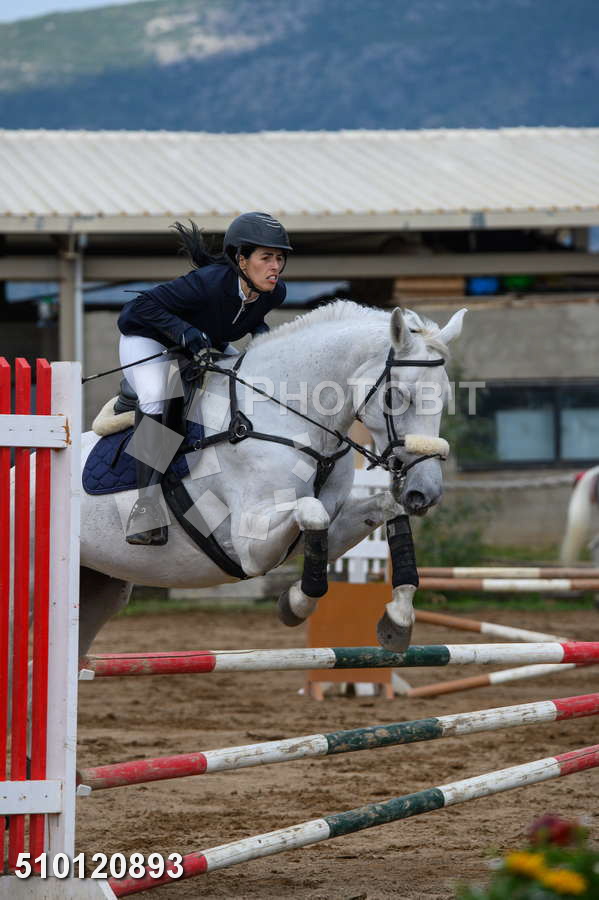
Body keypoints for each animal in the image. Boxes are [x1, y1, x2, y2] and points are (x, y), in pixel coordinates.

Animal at [77, 300, 466, 658]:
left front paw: (397, 620)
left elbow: (385, 508)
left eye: (446, 398)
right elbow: (312, 512)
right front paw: (296, 604)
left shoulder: (332, 521)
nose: (425, 492)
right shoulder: (249, 542)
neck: (283, 416)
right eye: (395, 395)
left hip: (99, 589)